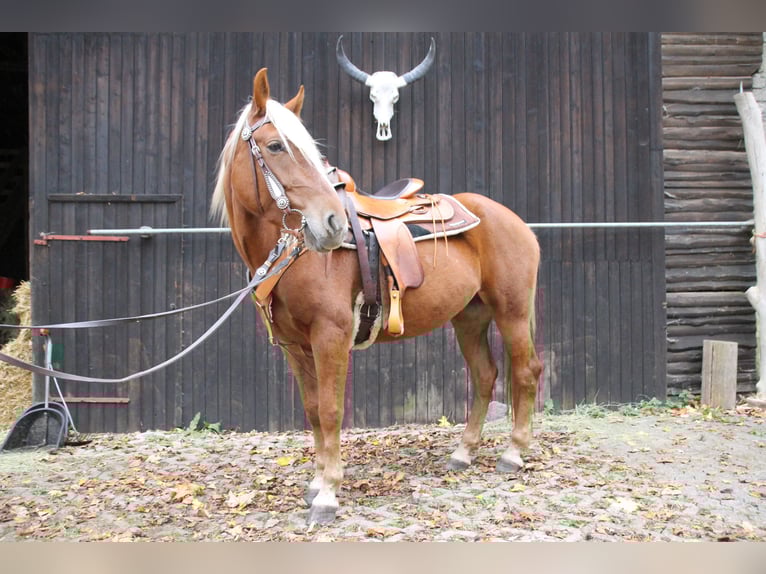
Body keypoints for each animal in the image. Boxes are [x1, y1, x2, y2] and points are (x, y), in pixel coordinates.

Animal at [211, 68, 542, 524]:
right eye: (275, 145)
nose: (331, 224)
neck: (293, 254)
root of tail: (513, 219)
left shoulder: (330, 337)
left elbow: (331, 411)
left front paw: (328, 494)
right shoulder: (296, 347)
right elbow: (312, 411)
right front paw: (316, 483)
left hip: (511, 312)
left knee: (525, 372)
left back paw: (513, 454)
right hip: (469, 318)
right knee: (485, 375)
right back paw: (463, 453)